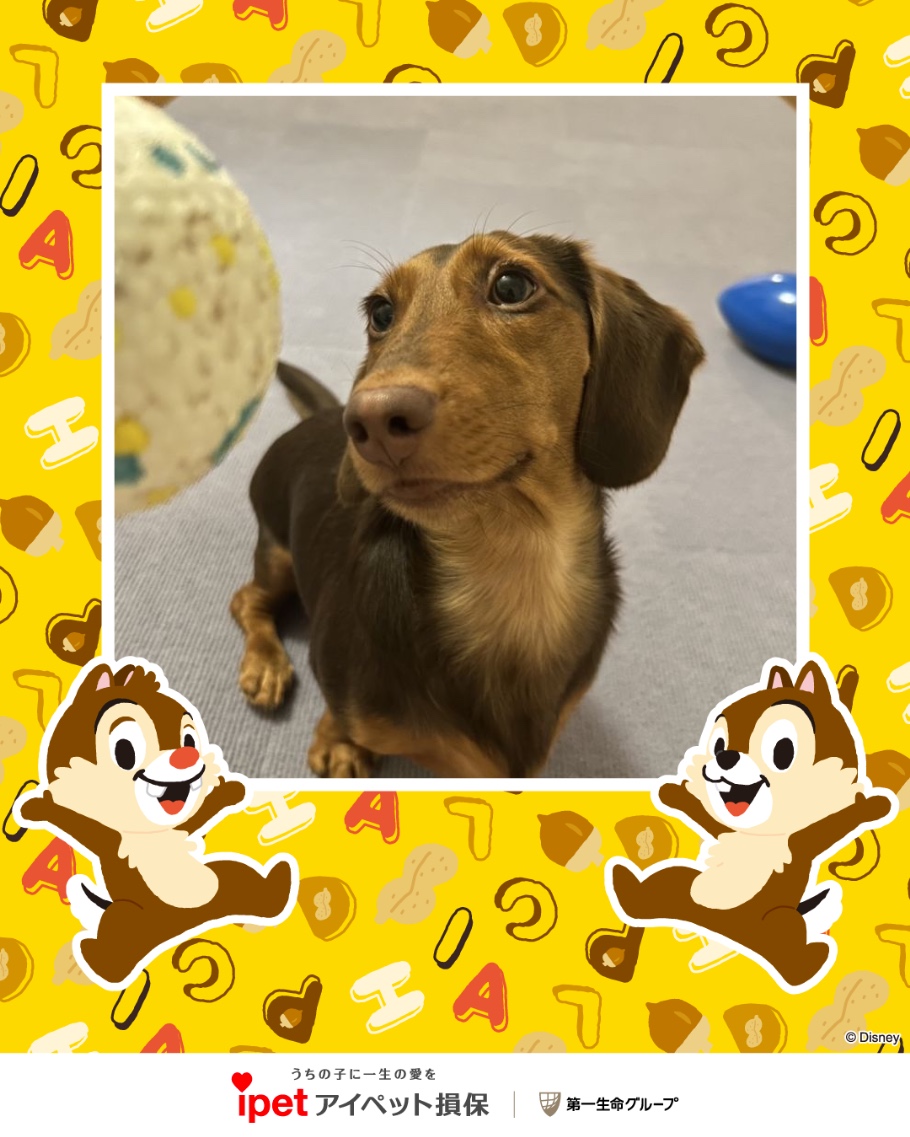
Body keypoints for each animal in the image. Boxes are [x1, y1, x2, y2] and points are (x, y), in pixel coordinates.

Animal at [231, 231, 705, 777]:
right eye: (381, 313)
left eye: (512, 285)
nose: (370, 422)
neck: (510, 567)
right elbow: (340, 709)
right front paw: (341, 743)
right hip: (277, 551)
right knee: (247, 599)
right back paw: (266, 665)